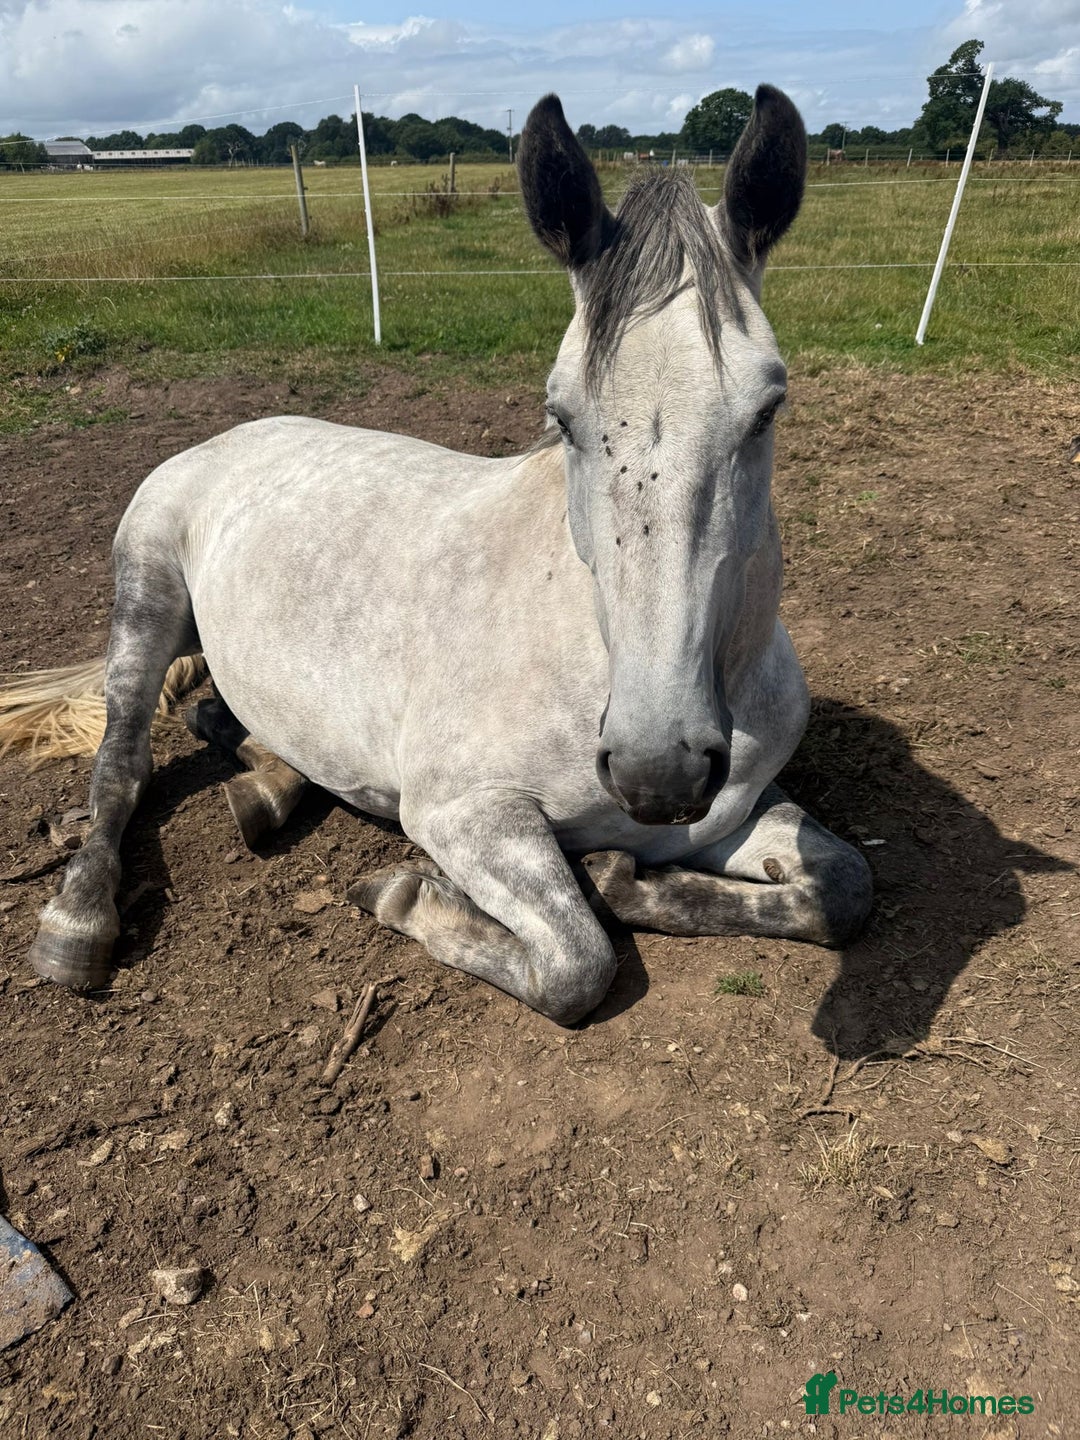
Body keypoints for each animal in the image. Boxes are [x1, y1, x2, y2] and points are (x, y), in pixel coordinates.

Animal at [0, 87, 871, 1024]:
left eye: (768, 407)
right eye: (561, 414)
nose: (658, 768)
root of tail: (230, 439)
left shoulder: (734, 811)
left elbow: (841, 886)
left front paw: (626, 881)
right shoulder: (466, 814)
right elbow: (576, 962)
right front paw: (407, 895)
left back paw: (267, 782)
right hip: (147, 593)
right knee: (121, 761)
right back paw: (78, 922)